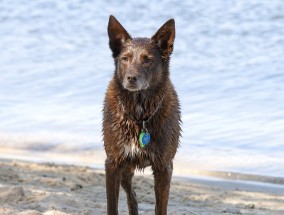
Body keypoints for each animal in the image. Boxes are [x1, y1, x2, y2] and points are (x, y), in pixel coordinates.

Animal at [103, 15, 181, 215]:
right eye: (125, 59)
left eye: (148, 60)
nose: (131, 78)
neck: (139, 114)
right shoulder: (113, 164)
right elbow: (112, 206)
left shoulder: (164, 167)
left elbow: (160, 207)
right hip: (125, 170)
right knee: (132, 195)